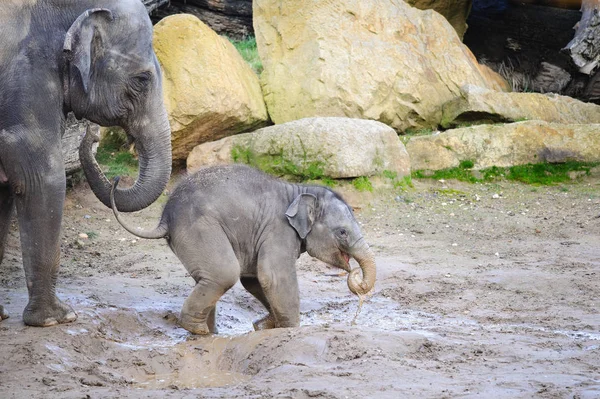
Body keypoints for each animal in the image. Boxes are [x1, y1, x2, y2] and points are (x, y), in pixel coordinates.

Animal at [110, 164, 376, 336]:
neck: (299, 191)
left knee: (207, 278)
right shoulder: (278, 230)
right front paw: (290, 329)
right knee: (224, 273)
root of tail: (165, 218)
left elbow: (254, 279)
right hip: (201, 228)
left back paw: (208, 333)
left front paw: (264, 325)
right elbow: (272, 276)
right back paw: (197, 329)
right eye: (342, 232)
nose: (356, 277)